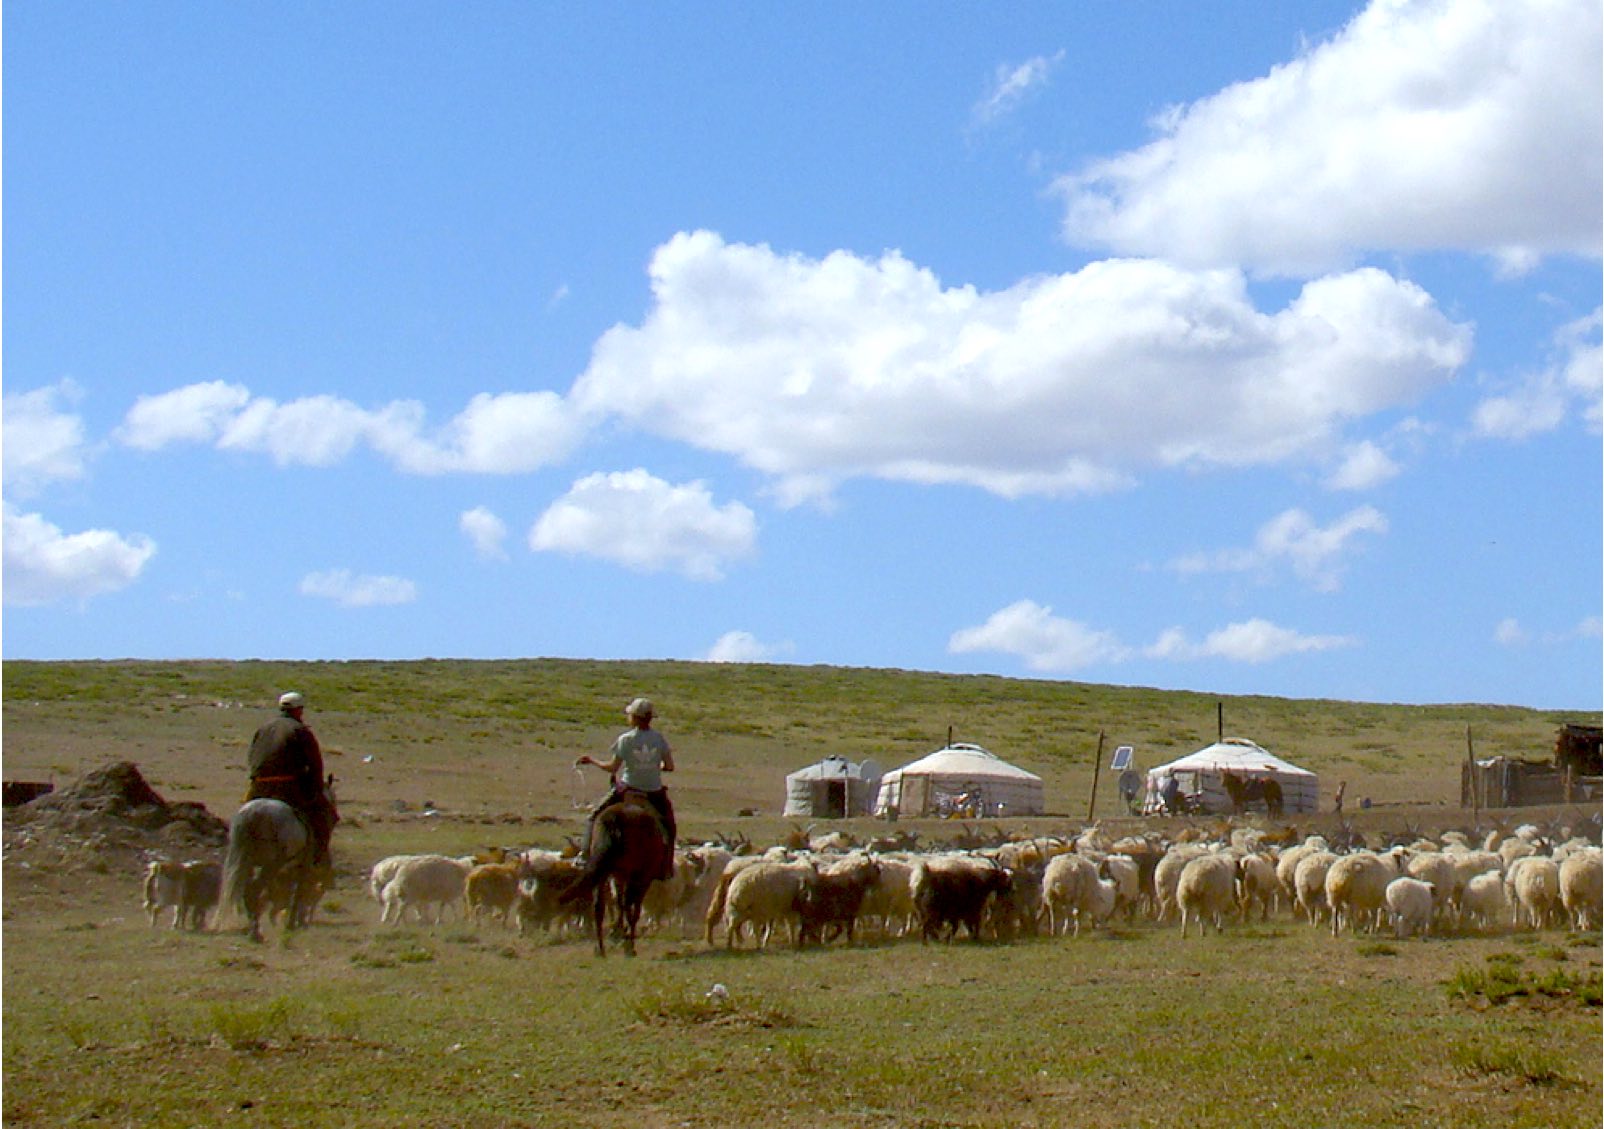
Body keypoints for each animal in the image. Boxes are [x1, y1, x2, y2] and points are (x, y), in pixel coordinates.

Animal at [561, 789, 667, 955]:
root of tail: (614, 818)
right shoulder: (642, 877)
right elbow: (632, 907)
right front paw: (622, 936)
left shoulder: (618, 874)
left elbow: (618, 901)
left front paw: (616, 931)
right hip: (632, 873)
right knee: (628, 904)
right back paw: (628, 946)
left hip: (604, 872)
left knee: (599, 905)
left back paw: (600, 948)